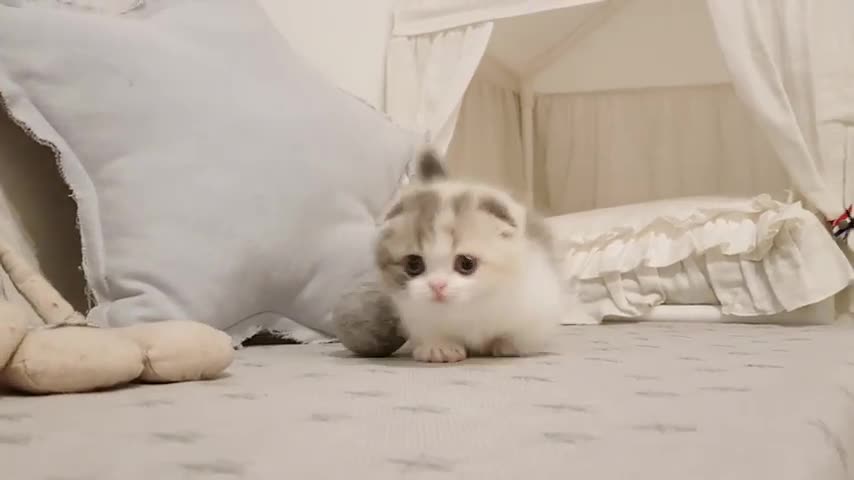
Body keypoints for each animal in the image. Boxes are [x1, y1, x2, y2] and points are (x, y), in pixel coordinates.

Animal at [374, 148, 568, 362]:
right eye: (413, 264)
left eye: (466, 263)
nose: (437, 286)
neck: (469, 307)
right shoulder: (413, 312)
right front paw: (439, 347)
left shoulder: (539, 302)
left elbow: (523, 334)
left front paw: (508, 344)